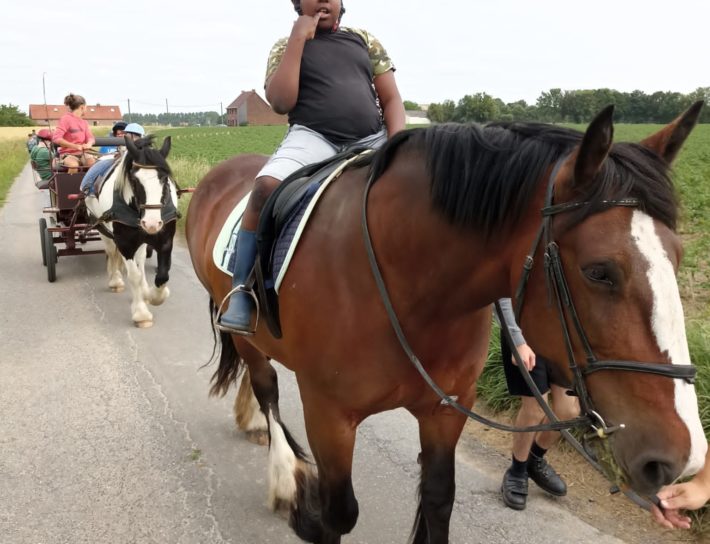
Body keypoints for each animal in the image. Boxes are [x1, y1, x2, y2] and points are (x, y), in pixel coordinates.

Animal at [85, 135, 178, 328]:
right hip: (101, 228)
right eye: (134, 180)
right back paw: (116, 280)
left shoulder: (165, 240)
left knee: (140, 261)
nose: (151, 223)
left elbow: (162, 276)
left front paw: (153, 295)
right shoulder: (124, 243)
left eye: (164, 179)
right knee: (111, 252)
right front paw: (141, 313)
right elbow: (133, 275)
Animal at [185, 102, 707, 544]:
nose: (685, 458)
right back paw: (282, 477)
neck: (407, 285)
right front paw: (303, 506)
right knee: (267, 387)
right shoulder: (328, 415)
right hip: (247, 336)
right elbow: (337, 513)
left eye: (678, 257)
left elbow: (438, 501)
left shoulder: (447, 410)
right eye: (599, 271)